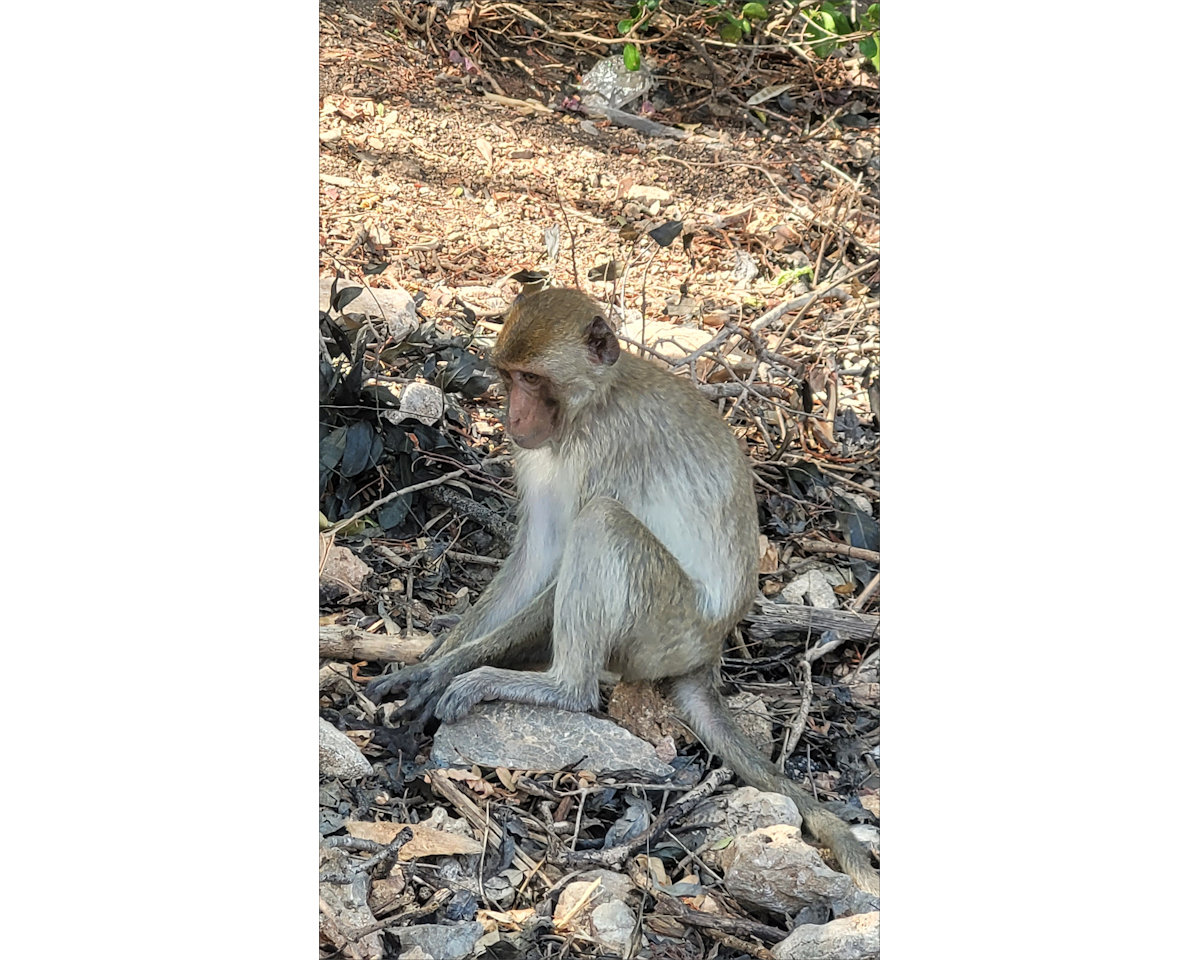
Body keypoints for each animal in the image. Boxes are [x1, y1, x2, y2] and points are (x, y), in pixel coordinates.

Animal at [367, 288, 879, 895]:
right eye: (509, 377)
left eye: (534, 380)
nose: (514, 416)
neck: (590, 405)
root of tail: (710, 651)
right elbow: (537, 557)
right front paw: (428, 663)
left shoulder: (610, 448)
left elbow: (563, 561)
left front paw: (446, 670)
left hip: (665, 630)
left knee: (603, 524)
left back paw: (560, 687)